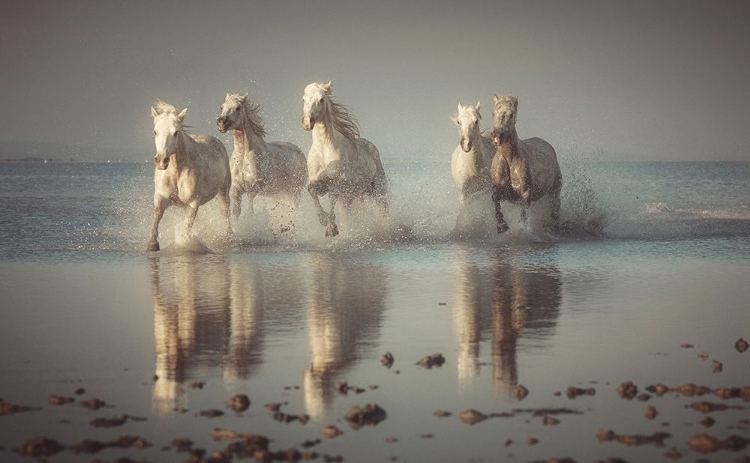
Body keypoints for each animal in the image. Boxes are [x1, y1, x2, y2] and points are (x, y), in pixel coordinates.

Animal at [145, 101, 231, 252]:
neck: (177, 172)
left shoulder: (193, 202)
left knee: (226, 213)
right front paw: (152, 244)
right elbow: (157, 215)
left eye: (175, 132)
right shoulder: (161, 196)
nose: (161, 160)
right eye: (155, 131)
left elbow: (187, 227)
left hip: (223, 192)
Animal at [217, 93, 308, 227]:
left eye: (238, 107)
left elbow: (251, 209)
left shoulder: (254, 187)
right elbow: (236, 212)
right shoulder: (235, 189)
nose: (221, 123)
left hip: (295, 192)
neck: (243, 158)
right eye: (222, 107)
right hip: (279, 193)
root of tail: (299, 152)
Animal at [302, 81, 390, 237]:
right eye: (303, 99)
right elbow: (311, 190)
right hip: (355, 196)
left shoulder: (340, 184)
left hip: (378, 190)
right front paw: (324, 220)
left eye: (321, 99)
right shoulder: (320, 183)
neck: (324, 151)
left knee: (382, 211)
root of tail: (373, 148)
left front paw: (331, 228)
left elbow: (332, 196)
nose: (307, 122)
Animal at [490, 94, 560, 234]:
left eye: (511, 114)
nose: (497, 136)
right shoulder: (504, 192)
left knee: (555, 209)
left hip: (555, 190)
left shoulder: (525, 194)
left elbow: (523, 215)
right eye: (493, 113)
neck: (510, 160)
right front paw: (502, 226)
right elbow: (495, 197)